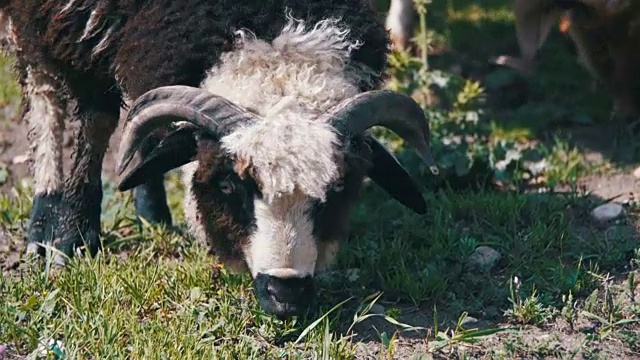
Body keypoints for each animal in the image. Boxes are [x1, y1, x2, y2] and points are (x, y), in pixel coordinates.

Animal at [2, 0, 440, 318]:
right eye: (229, 185)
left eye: (338, 190)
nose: (286, 294)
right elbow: (92, 121)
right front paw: (72, 237)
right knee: (43, 89)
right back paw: (43, 220)